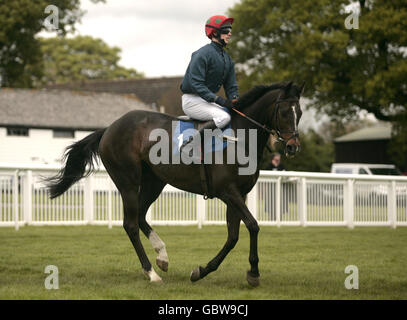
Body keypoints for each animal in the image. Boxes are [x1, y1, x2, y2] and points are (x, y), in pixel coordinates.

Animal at [47, 81, 302, 286]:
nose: (293, 147)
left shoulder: (240, 194)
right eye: (284, 112)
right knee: (130, 224)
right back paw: (151, 273)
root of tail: (109, 128)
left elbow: (233, 236)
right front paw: (254, 273)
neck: (239, 138)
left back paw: (162, 256)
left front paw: (202, 271)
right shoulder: (228, 191)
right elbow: (253, 226)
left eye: (299, 112)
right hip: (128, 181)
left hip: (154, 181)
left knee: (140, 216)